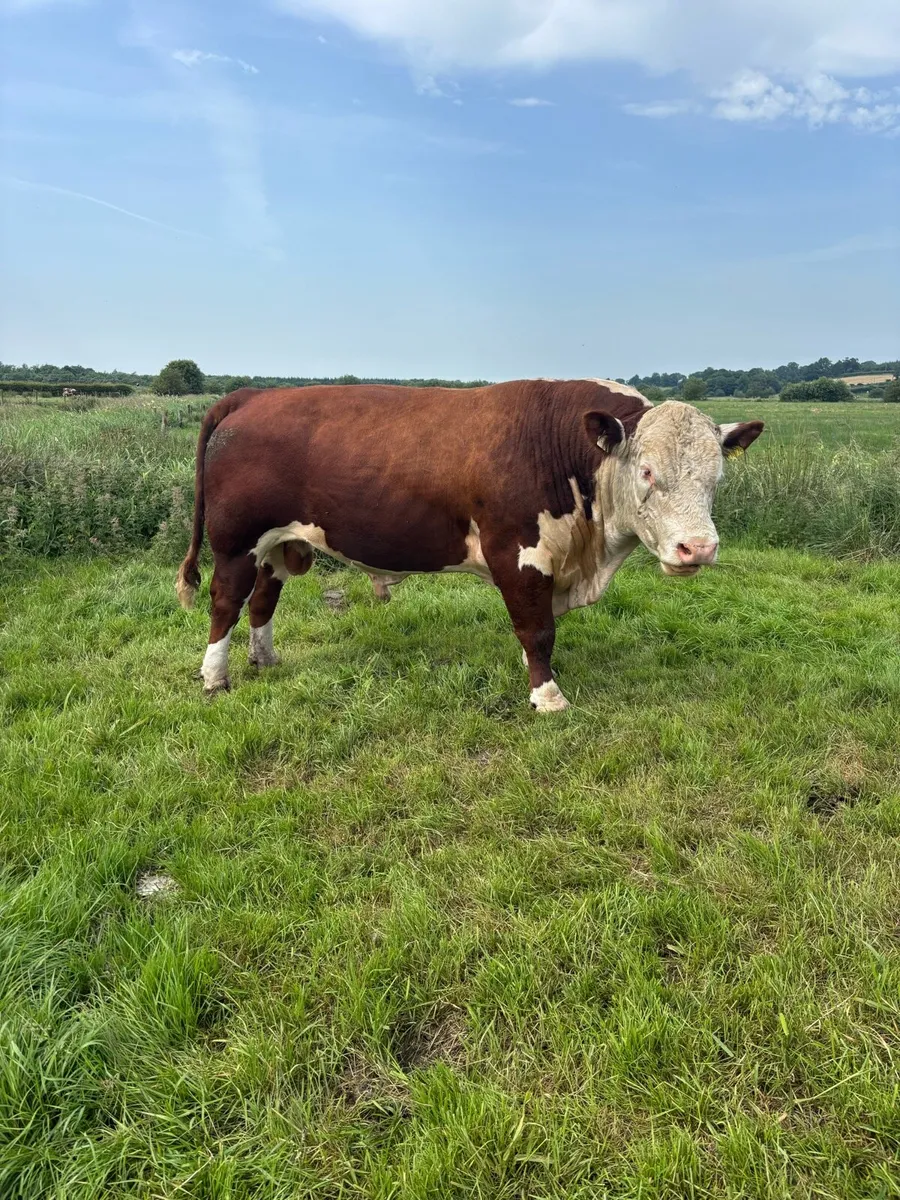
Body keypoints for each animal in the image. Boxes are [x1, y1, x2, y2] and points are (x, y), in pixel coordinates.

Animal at [176, 381, 763, 711]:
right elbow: (537, 629)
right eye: (647, 471)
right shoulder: (519, 554)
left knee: (262, 600)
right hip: (235, 543)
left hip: (277, 544)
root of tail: (254, 396)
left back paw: (265, 659)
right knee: (226, 603)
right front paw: (547, 696)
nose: (697, 549)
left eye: (716, 477)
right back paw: (215, 678)